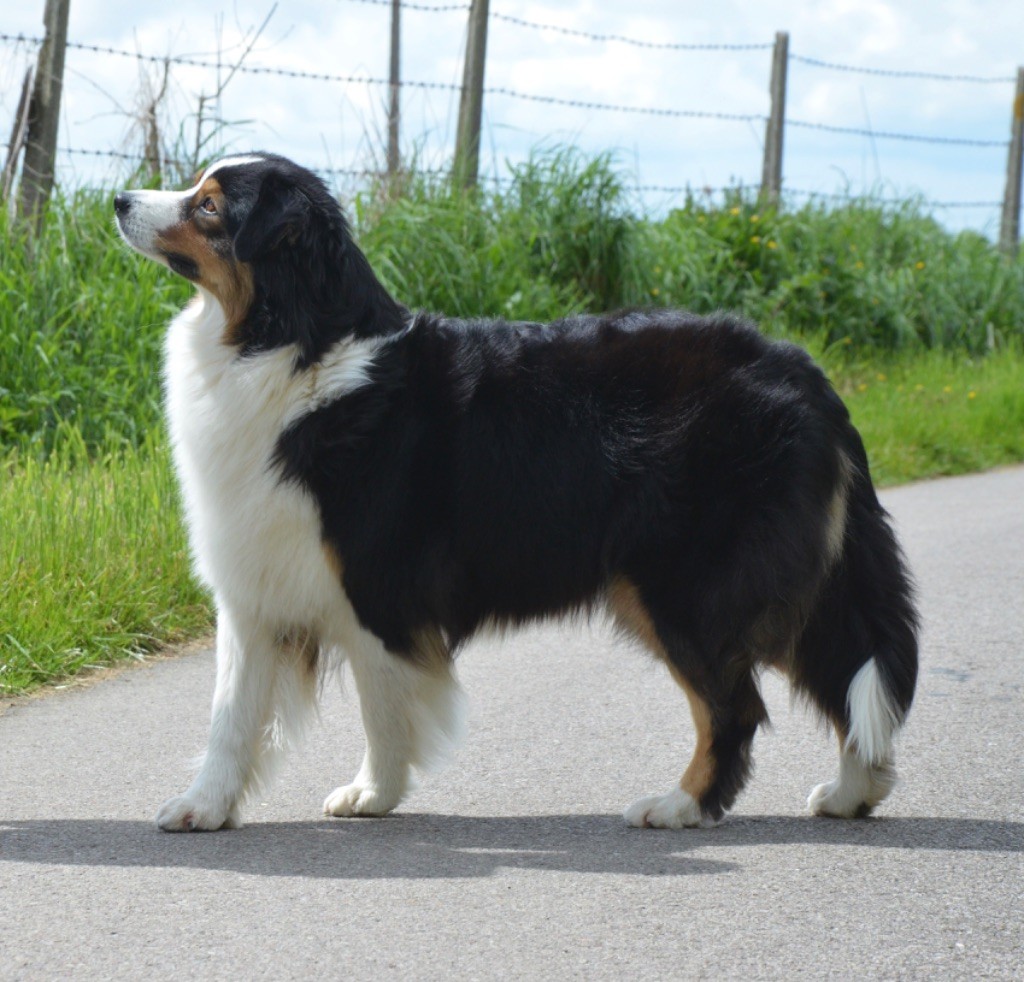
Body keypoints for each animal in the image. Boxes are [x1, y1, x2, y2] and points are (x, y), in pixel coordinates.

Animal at [114, 153, 921, 827]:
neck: (289, 345)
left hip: (683, 587)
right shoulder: (254, 581)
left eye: (209, 206)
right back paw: (850, 793)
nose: (118, 198)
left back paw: (679, 806)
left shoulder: (376, 588)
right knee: (847, 672)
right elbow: (232, 714)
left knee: (736, 706)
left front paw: (374, 793)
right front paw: (202, 807)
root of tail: (800, 369)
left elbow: (382, 708)